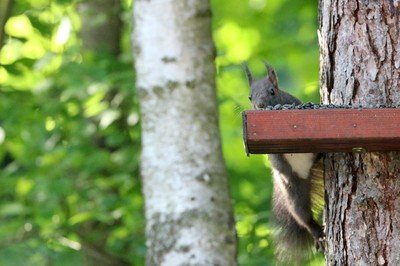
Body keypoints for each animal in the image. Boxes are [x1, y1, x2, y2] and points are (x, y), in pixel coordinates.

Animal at [244, 61, 324, 262]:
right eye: (249, 97)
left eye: (272, 91)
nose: (260, 105)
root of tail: (306, 172)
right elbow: (276, 158)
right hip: (294, 190)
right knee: (301, 214)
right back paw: (317, 232)